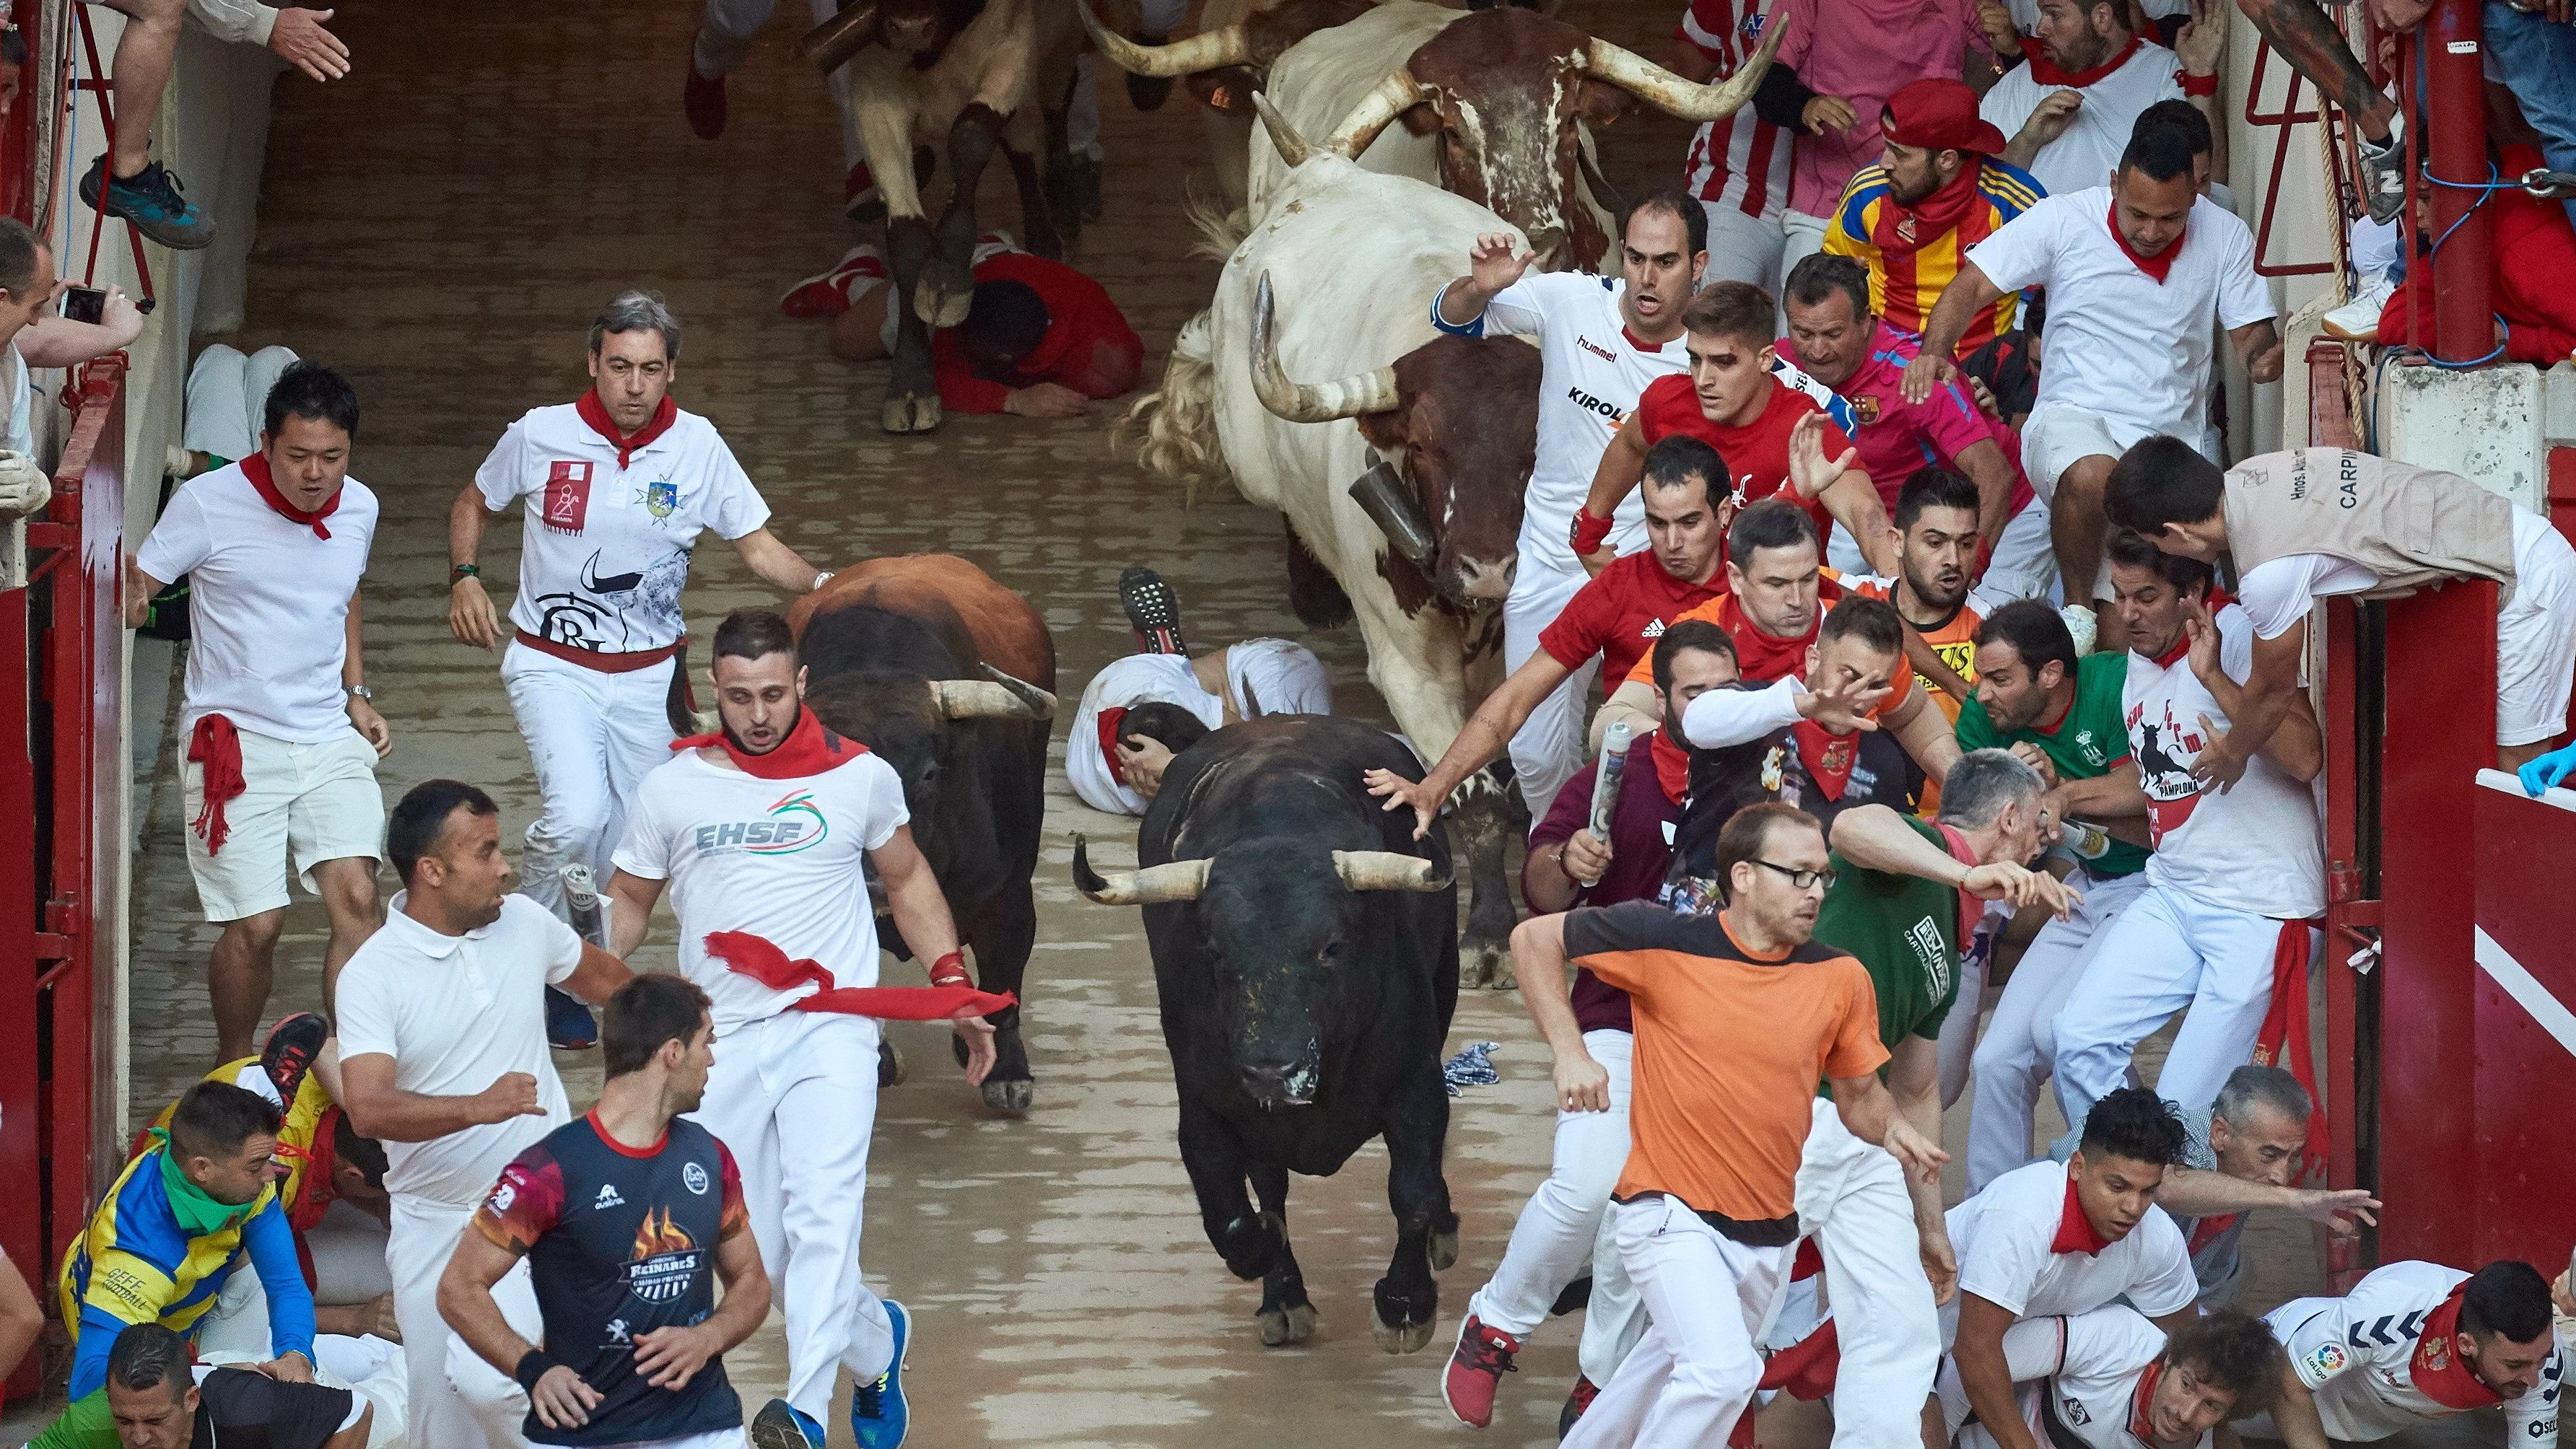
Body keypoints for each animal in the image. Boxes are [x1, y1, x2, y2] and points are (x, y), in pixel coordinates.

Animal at [1071, 720, 1473, 1359]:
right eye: (1215, 951)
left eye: (1331, 946)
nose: (1271, 1073)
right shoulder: (1205, 1110)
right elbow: (1237, 1217)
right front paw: (1272, 1273)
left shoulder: (1416, 1086)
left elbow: (1414, 1193)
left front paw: (1405, 1306)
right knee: (1270, 1186)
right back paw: (1284, 1300)